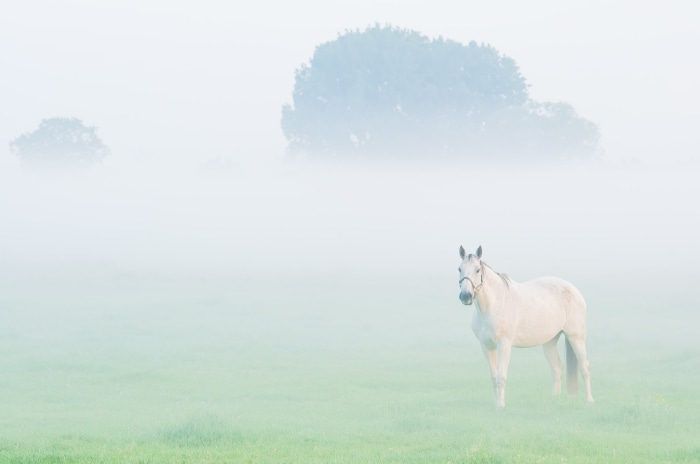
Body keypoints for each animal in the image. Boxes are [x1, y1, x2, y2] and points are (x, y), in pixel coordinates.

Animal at [458, 245, 593, 408]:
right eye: (459, 269)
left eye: (477, 270)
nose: (465, 296)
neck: (493, 304)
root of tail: (574, 290)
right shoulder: (486, 346)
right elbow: (493, 377)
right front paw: (496, 403)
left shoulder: (504, 344)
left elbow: (501, 377)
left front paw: (501, 406)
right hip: (550, 341)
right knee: (557, 368)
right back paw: (555, 400)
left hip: (576, 338)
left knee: (585, 368)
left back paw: (589, 401)